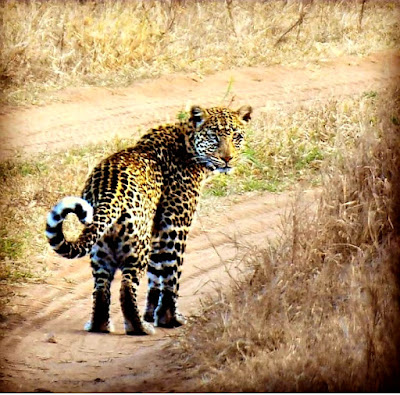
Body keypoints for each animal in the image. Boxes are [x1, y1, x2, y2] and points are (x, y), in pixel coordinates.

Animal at [45, 103, 252, 336]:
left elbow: (155, 275)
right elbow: (171, 275)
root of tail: (108, 191)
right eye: (214, 136)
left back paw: (100, 325)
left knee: (101, 286)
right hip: (137, 245)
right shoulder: (174, 225)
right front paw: (168, 319)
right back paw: (139, 328)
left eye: (236, 136)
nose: (228, 159)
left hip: (101, 246)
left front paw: (151, 314)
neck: (188, 145)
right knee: (126, 287)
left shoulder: (156, 231)